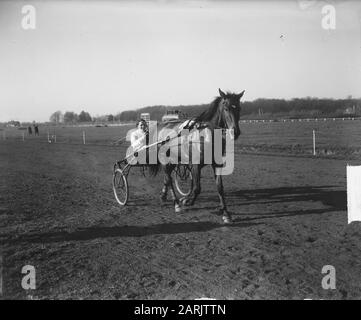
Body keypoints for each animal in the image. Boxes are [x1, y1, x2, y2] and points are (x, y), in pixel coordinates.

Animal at [149, 89, 245, 224]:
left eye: (239, 108)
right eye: (226, 108)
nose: (235, 132)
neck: (207, 134)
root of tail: (162, 125)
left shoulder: (216, 164)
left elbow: (220, 188)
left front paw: (226, 214)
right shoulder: (195, 164)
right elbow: (197, 188)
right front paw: (187, 201)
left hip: (175, 158)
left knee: (167, 177)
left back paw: (164, 196)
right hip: (164, 158)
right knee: (168, 178)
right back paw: (176, 204)